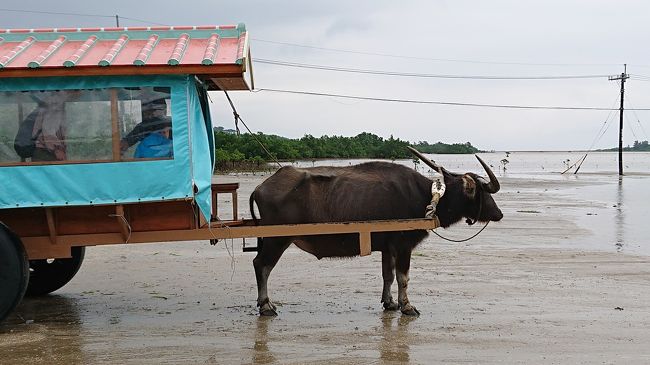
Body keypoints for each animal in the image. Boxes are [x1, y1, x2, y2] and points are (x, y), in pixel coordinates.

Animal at [248, 146, 502, 314]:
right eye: (483, 191)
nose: (498, 213)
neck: (426, 197)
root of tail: (261, 187)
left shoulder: (387, 247)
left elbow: (387, 275)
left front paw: (389, 303)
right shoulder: (403, 245)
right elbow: (403, 277)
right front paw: (407, 306)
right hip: (277, 239)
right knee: (262, 265)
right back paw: (266, 305)